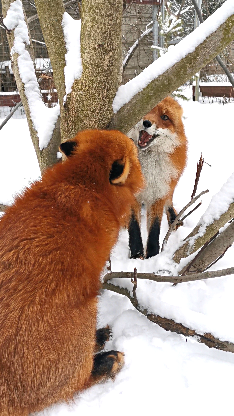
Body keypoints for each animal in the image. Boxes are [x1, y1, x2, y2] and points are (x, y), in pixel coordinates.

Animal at [0, 128, 144, 414]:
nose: (139, 136)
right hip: (85, 314)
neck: (81, 184)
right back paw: (106, 359)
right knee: (76, 384)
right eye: (132, 152)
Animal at [127, 96, 187, 258]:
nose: (146, 122)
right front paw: (136, 254)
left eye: (164, 117)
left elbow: (154, 229)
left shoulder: (158, 194)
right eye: (146, 108)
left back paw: (174, 219)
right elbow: (134, 227)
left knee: (170, 201)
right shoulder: (130, 193)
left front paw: (152, 255)